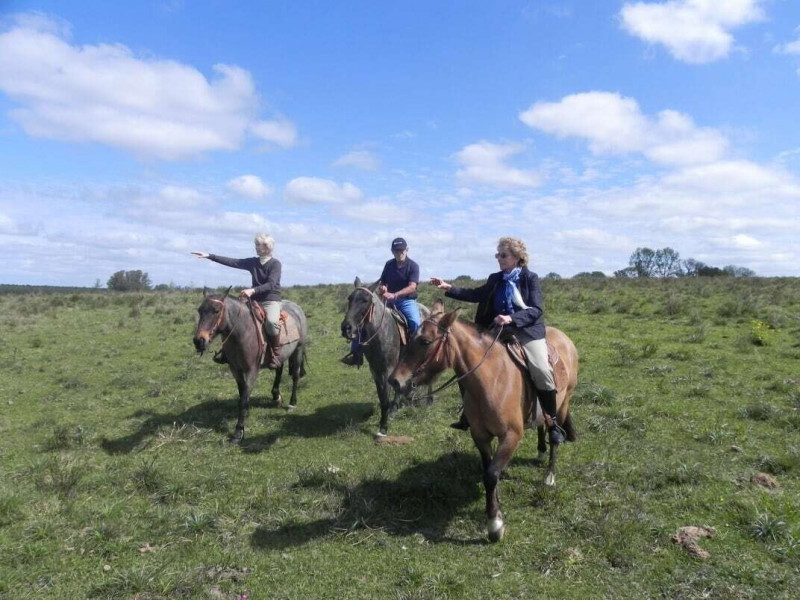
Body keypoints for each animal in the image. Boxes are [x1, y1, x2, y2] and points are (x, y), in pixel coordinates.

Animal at [192, 288, 308, 444]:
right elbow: (242, 394)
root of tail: (297, 308)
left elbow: (244, 397)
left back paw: (292, 402)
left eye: (216, 310)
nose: (199, 341)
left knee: (295, 375)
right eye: (200, 310)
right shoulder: (235, 369)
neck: (242, 332)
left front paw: (238, 432)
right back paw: (276, 396)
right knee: (279, 369)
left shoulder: (251, 370)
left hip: (298, 349)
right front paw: (244, 415)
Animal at [340, 277, 430, 437]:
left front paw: (384, 426)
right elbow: (382, 398)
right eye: (349, 298)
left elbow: (386, 396)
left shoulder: (387, 370)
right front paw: (384, 422)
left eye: (365, 300)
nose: (346, 328)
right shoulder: (375, 370)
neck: (379, 333)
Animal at [388, 301, 578, 542]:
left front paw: (495, 525)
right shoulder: (480, 436)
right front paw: (494, 510)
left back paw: (550, 475)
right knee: (542, 423)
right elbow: (490, 473)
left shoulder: (511, 436)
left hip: (563, 403)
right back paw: (540, 452)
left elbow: (491, 475)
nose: (395, 380)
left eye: (426, 341)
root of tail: (564, 338)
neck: (493, 380)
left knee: (554, 434)